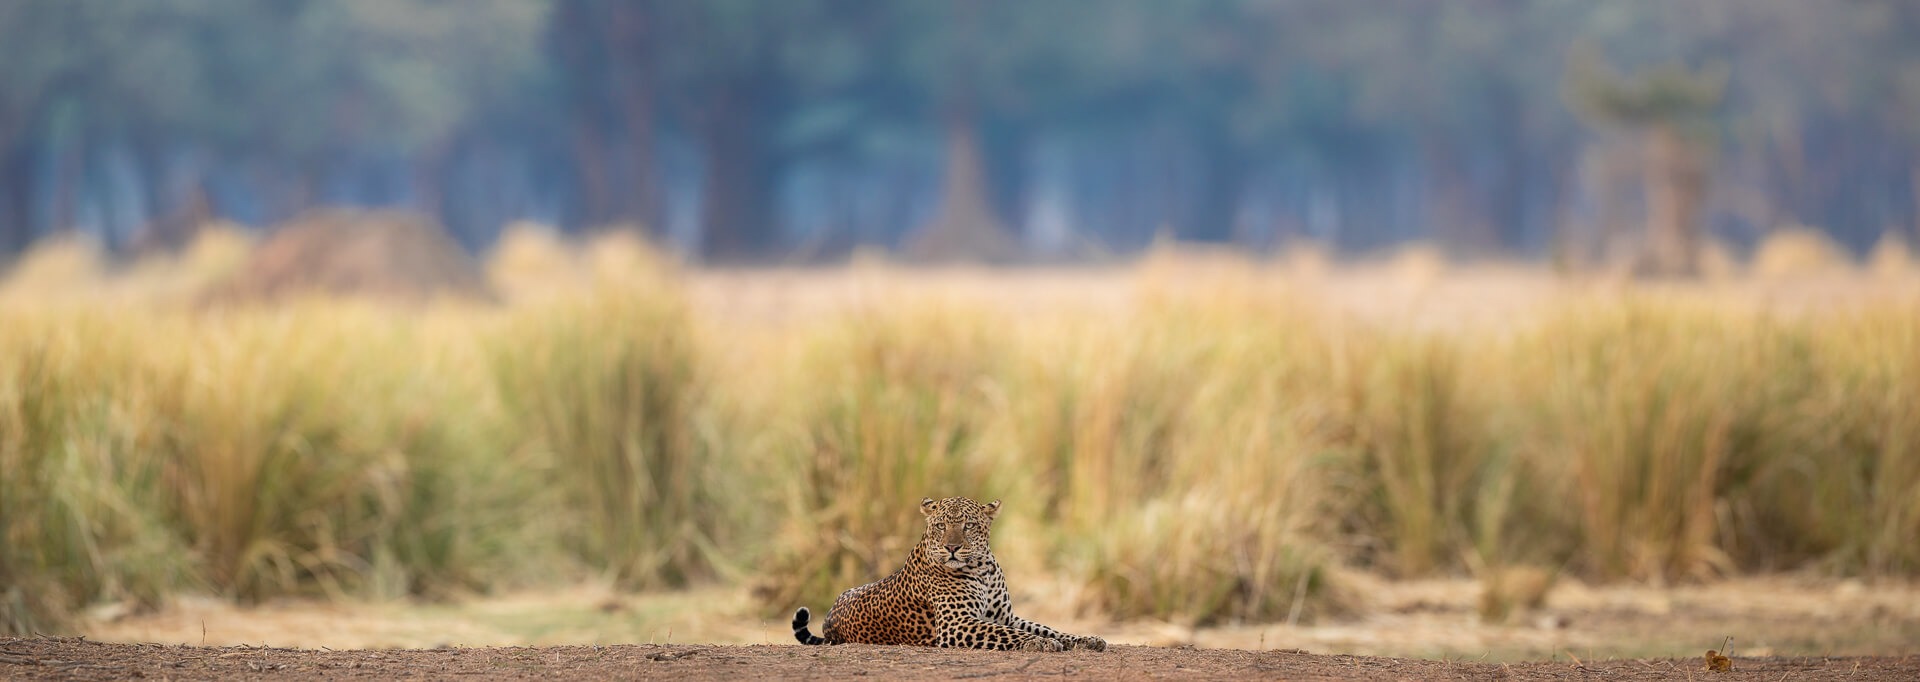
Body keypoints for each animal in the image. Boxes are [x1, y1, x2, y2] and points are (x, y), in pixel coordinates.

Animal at [787, 499, 1105, 653]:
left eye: (968, 525)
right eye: (941, 525)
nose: (952, 547)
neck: (982, 567)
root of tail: (830, 617)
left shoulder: (1005, 616)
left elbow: (1048, 627)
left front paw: (1086, 639)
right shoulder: (957, 624)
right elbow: (1013, 634)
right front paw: (1038, 644)